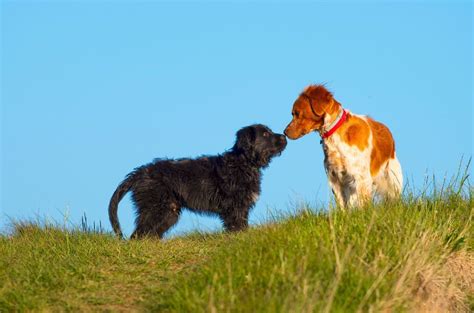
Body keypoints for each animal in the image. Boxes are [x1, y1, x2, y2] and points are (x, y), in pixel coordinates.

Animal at [107, 123, 286, 238]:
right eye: (265, 134)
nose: (284, 136)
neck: (243, 162)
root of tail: (141, 172)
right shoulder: (235, 207)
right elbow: (237, 226)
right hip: (156, 208)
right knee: (139, 234)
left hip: (169, 211)